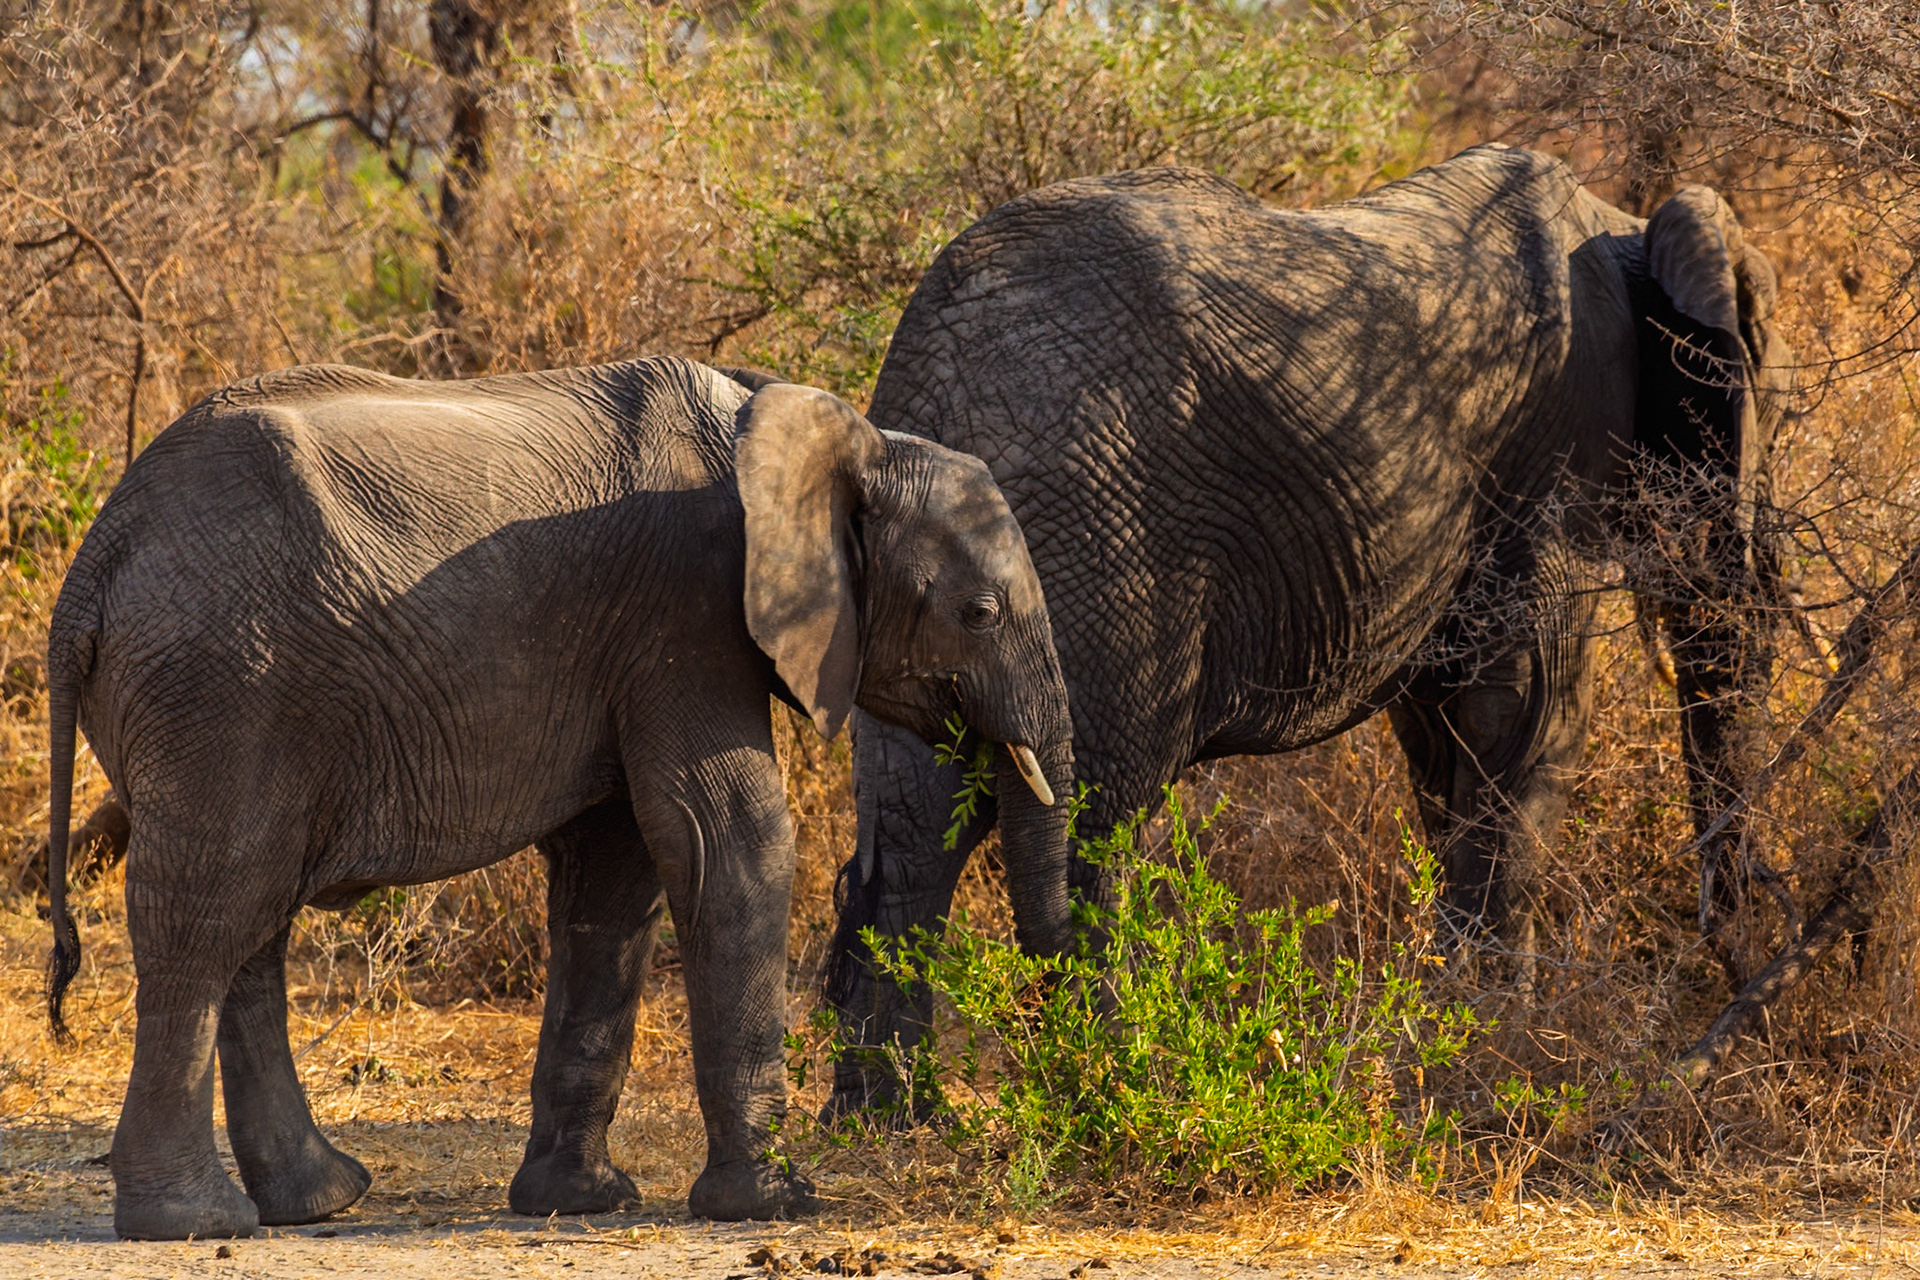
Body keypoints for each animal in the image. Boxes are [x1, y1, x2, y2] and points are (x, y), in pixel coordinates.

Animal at [41, 356, 1075, 1239]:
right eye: (980, 613)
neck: (829, 436)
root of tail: (96, 560)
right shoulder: (687, 609)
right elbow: (726, 837)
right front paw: (777, 1203)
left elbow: (613, 875)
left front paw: (580, 1203)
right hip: (220, 685)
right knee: (208, 918)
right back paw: (195, 1223)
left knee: (253, 923)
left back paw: (318, 1202)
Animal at [823, 143, 1795, 1115]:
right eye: (1779, 419)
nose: (1732, 959)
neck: (1626, 228)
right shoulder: (1556, 459)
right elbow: (1528, 720)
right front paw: (1494, 1046)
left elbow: (1444, 743)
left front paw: (1456, 1028)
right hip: (1105, 551)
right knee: (1088, 834)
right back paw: (1117, 1092)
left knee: (909, 835)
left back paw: (889, 1119)